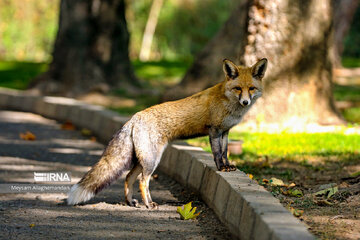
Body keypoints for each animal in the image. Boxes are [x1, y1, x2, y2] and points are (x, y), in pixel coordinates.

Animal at [67, 58, 268, 208]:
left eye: (251, 88)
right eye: (238, 88)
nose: (245, 102)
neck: (229, 103)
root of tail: (134, 117)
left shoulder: (225, 131)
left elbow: (225, 153)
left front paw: (228, 167)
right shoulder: (215, 130)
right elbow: (217, 154)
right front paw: (221, 168)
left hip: (142, 159)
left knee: (128, 177)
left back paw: (131, 202)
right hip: (152, 160)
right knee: (143, 181)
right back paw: (149, 204)